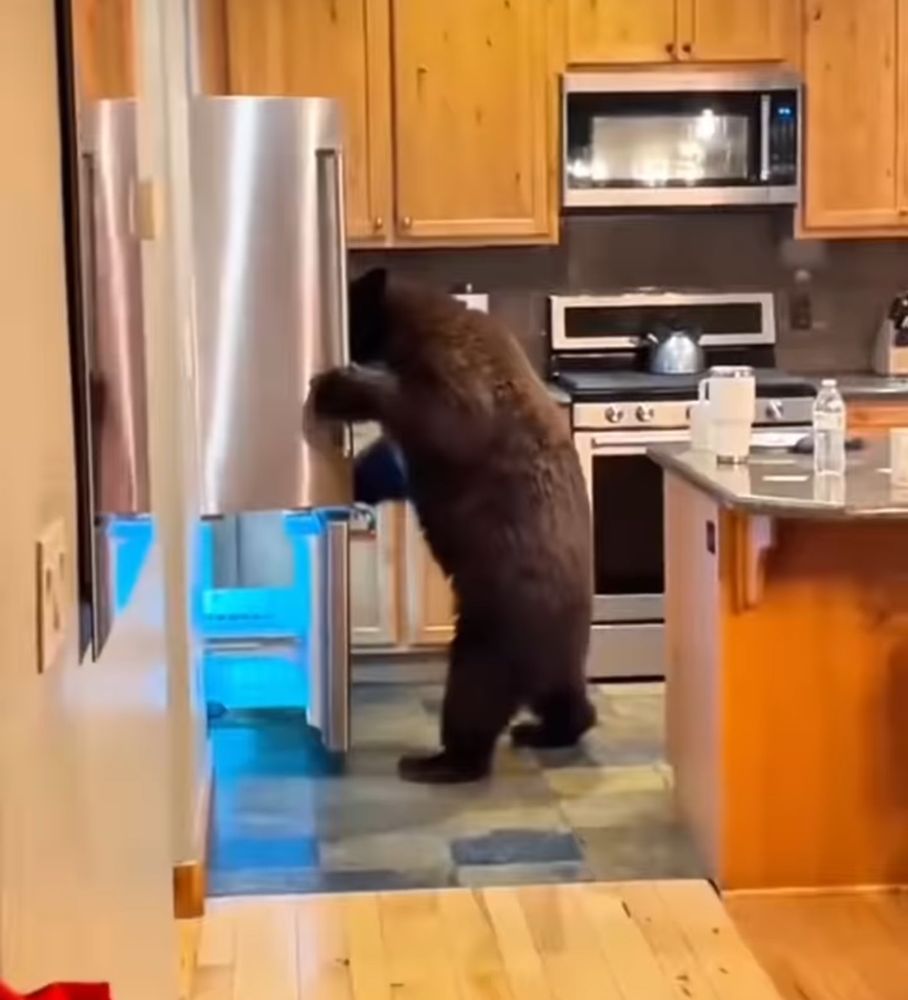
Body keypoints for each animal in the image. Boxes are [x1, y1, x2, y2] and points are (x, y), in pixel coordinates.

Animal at [309, 268, 596, 783]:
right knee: (561, 696)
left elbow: (439, 417)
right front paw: (357, 479)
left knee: (473, 692)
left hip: (498, 620)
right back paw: (547, 729)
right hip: (543, 641)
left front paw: (336, 388)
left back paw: (439, 762)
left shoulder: (459, 380)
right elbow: (390, 464)